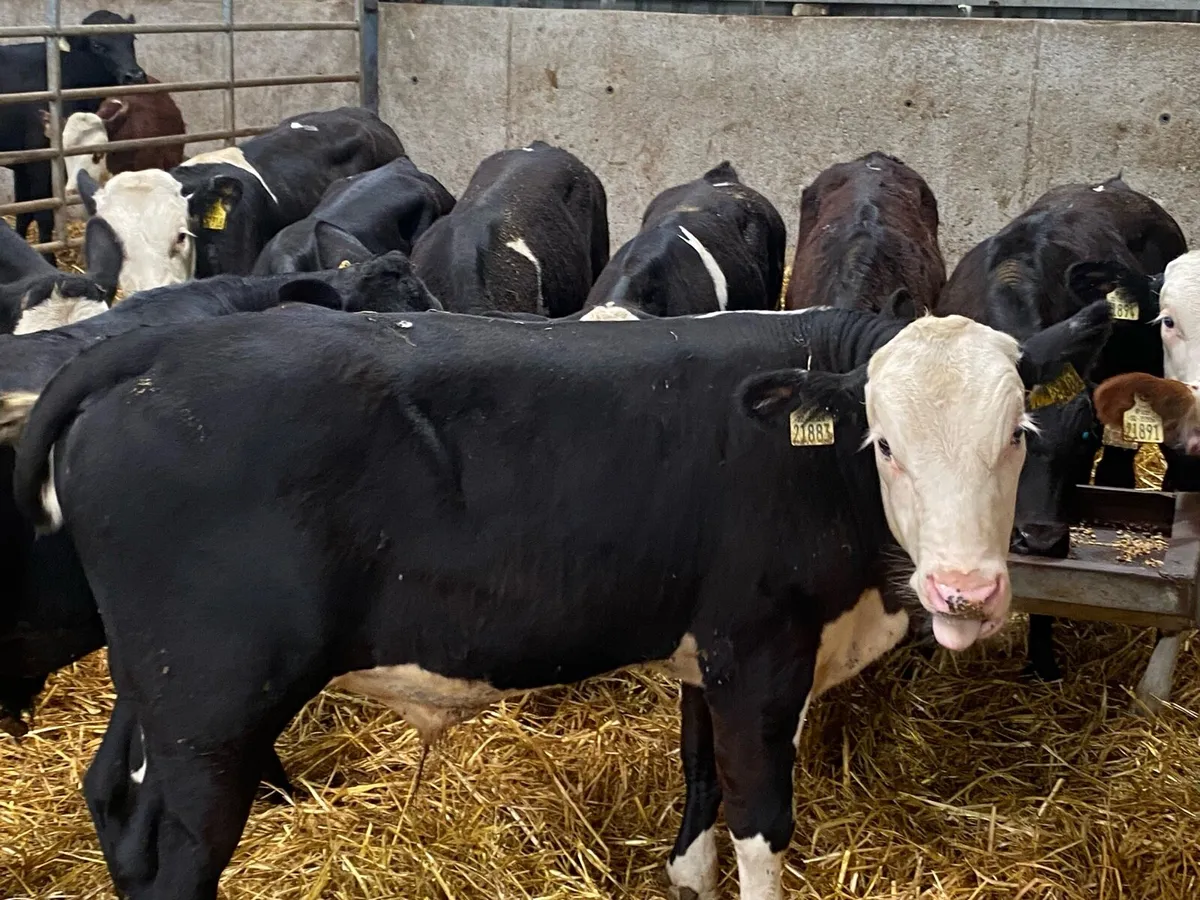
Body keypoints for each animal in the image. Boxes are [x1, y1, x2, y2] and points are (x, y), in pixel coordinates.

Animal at [0, 10, 146, 257]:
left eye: (131, 39)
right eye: (97, 45)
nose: (134, 75)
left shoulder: (23, 164)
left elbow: (24, 213)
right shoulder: (41, 161)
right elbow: (44, 215)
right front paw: (49, 259)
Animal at [8, 296, 1111, 900]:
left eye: (1018, 435)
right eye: (883, 443)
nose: (965, 590)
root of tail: (151, 353)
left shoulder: (705, 650)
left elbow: (700, 781)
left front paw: (683, 880)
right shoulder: (761, 648)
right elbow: (761, 821)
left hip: (158, 680)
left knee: (115, 799)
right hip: (215, 702)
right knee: (178, 856)